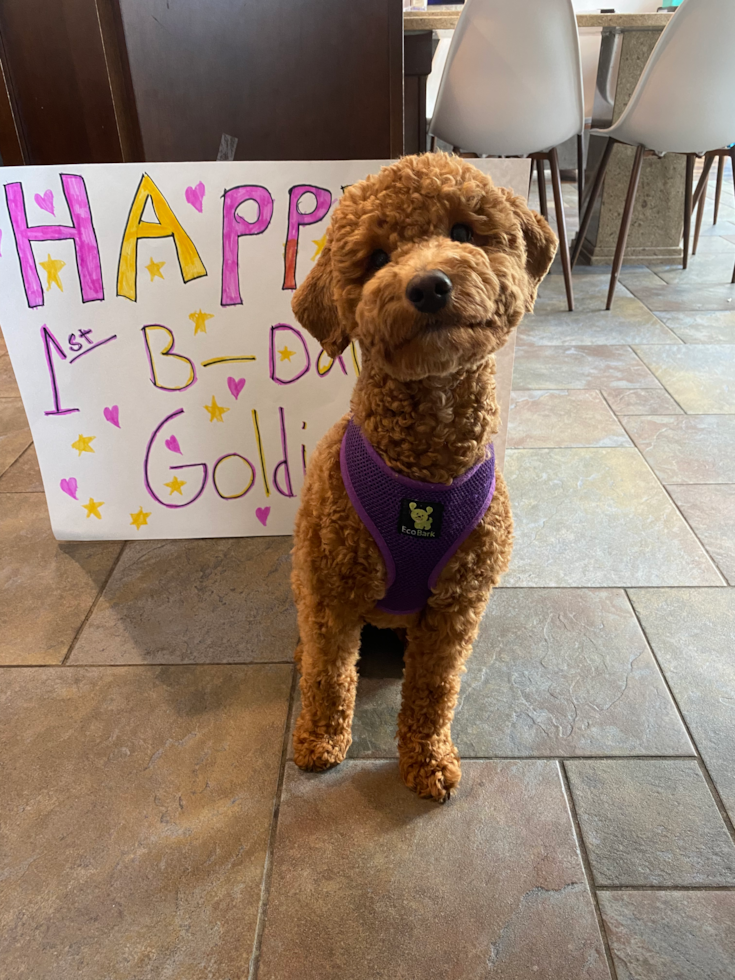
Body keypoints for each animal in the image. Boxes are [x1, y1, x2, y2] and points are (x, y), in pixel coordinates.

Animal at [290, 149, 556, 800]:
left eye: (462, 231)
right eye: (376, 258)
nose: (429, 284)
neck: (424, 471)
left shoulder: (457, 605)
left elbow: (435, 690)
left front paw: (427, 760)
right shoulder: (331, 592)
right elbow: (330, 674)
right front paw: (320, 740)